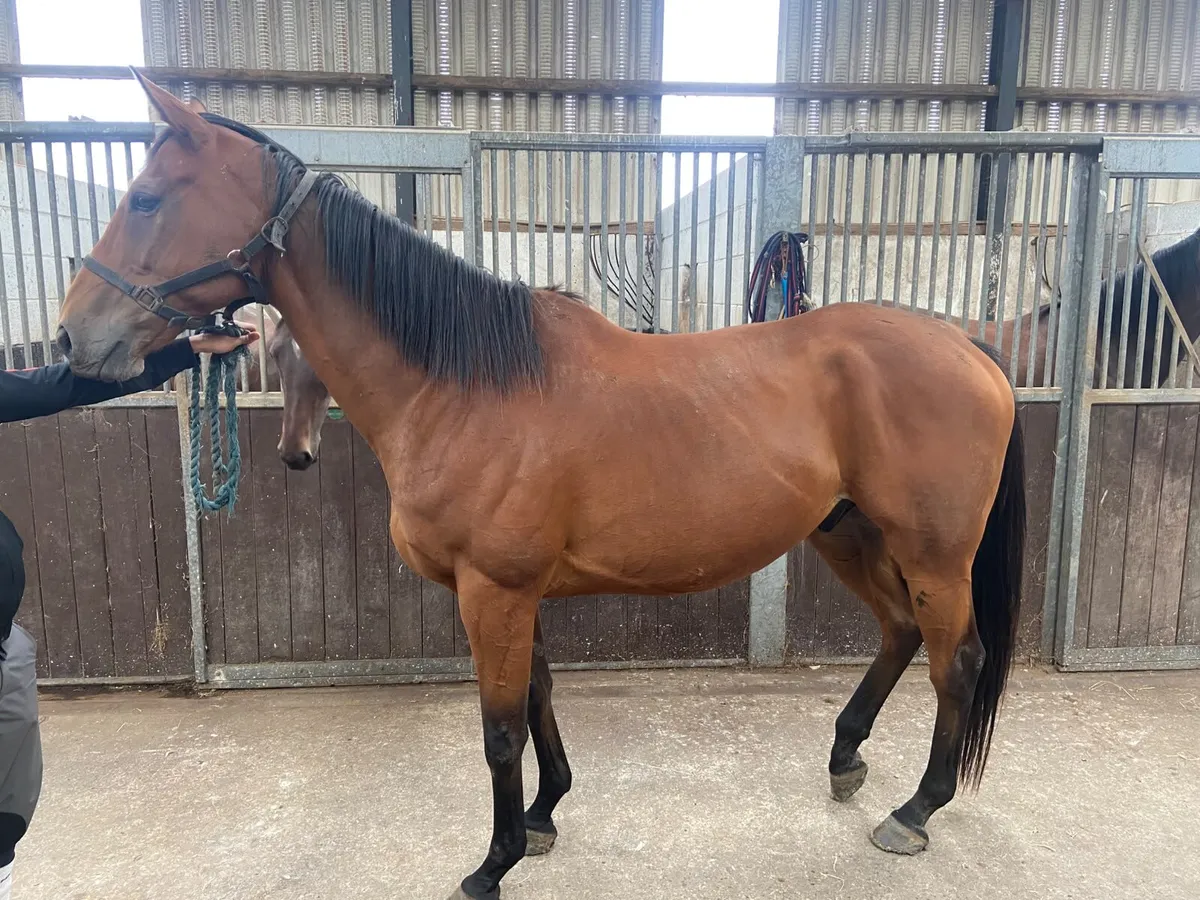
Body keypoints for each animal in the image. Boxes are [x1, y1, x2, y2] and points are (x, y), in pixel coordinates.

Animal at [57, 74, 1026, 900]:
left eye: (147, 198)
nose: (73, 339)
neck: (463, 386)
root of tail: (972, 349)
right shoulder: (514, 591)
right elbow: (539, 696)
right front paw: (544, 813)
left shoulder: (495, 590)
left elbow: (498, 730)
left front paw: (494, 861)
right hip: (847, 531)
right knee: (902, 633)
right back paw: (846, 760)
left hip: (933, 553)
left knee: (959, 660)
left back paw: (915, 810)